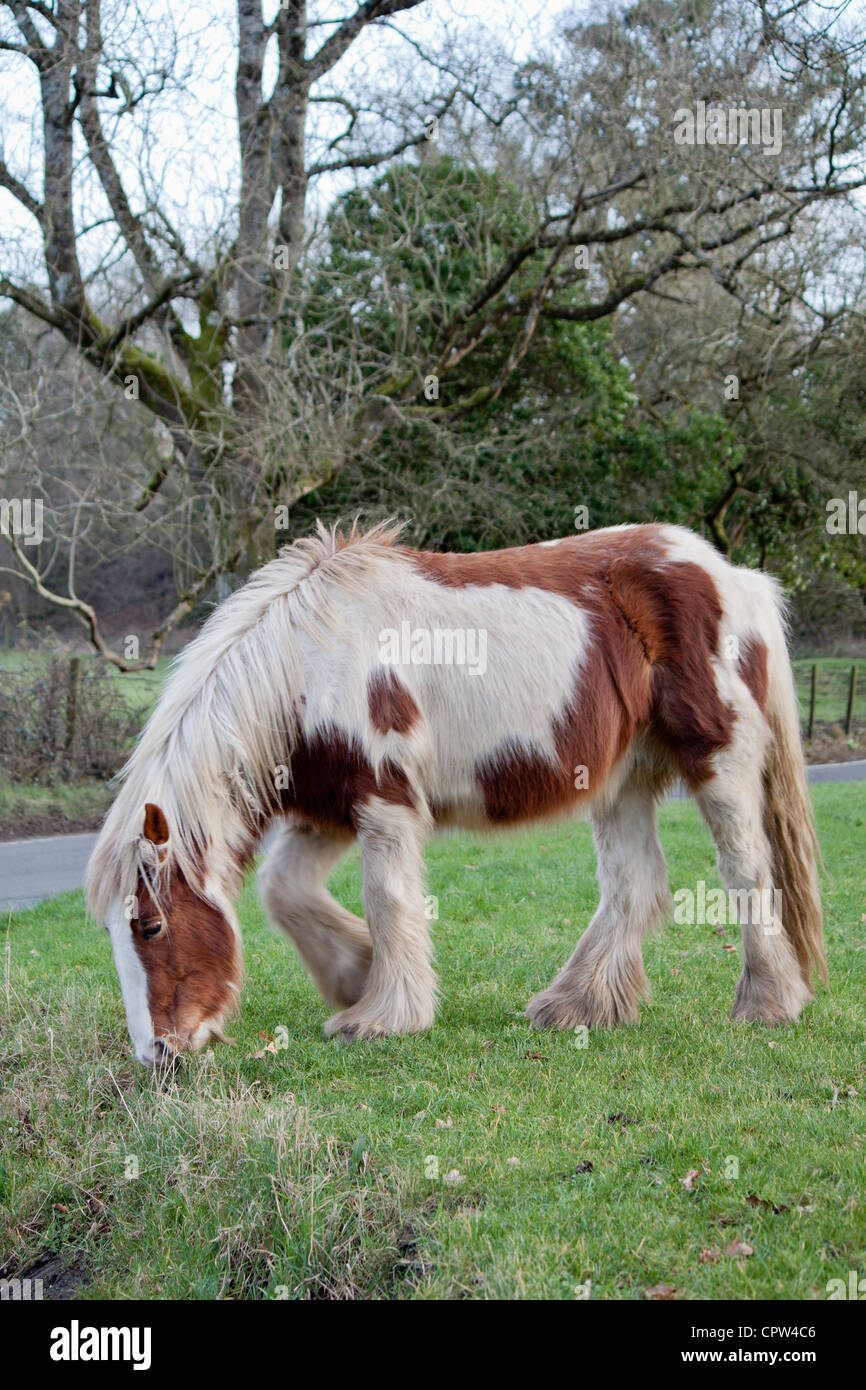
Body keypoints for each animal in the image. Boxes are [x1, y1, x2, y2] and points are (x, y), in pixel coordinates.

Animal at [86, 522, 828, 1061]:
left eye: (149, 926)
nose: (156, 1053)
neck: (310, 662)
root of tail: (734, 577)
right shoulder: (326, 811)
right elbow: (284, 892)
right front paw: (355, 976)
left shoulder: (384, 803)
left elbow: (387, 899)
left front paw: (385, 1016)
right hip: (621, 778)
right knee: (635, 886)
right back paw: (577, 1006)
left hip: (719, 759)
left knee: (747, 871)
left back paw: (766, 1003)